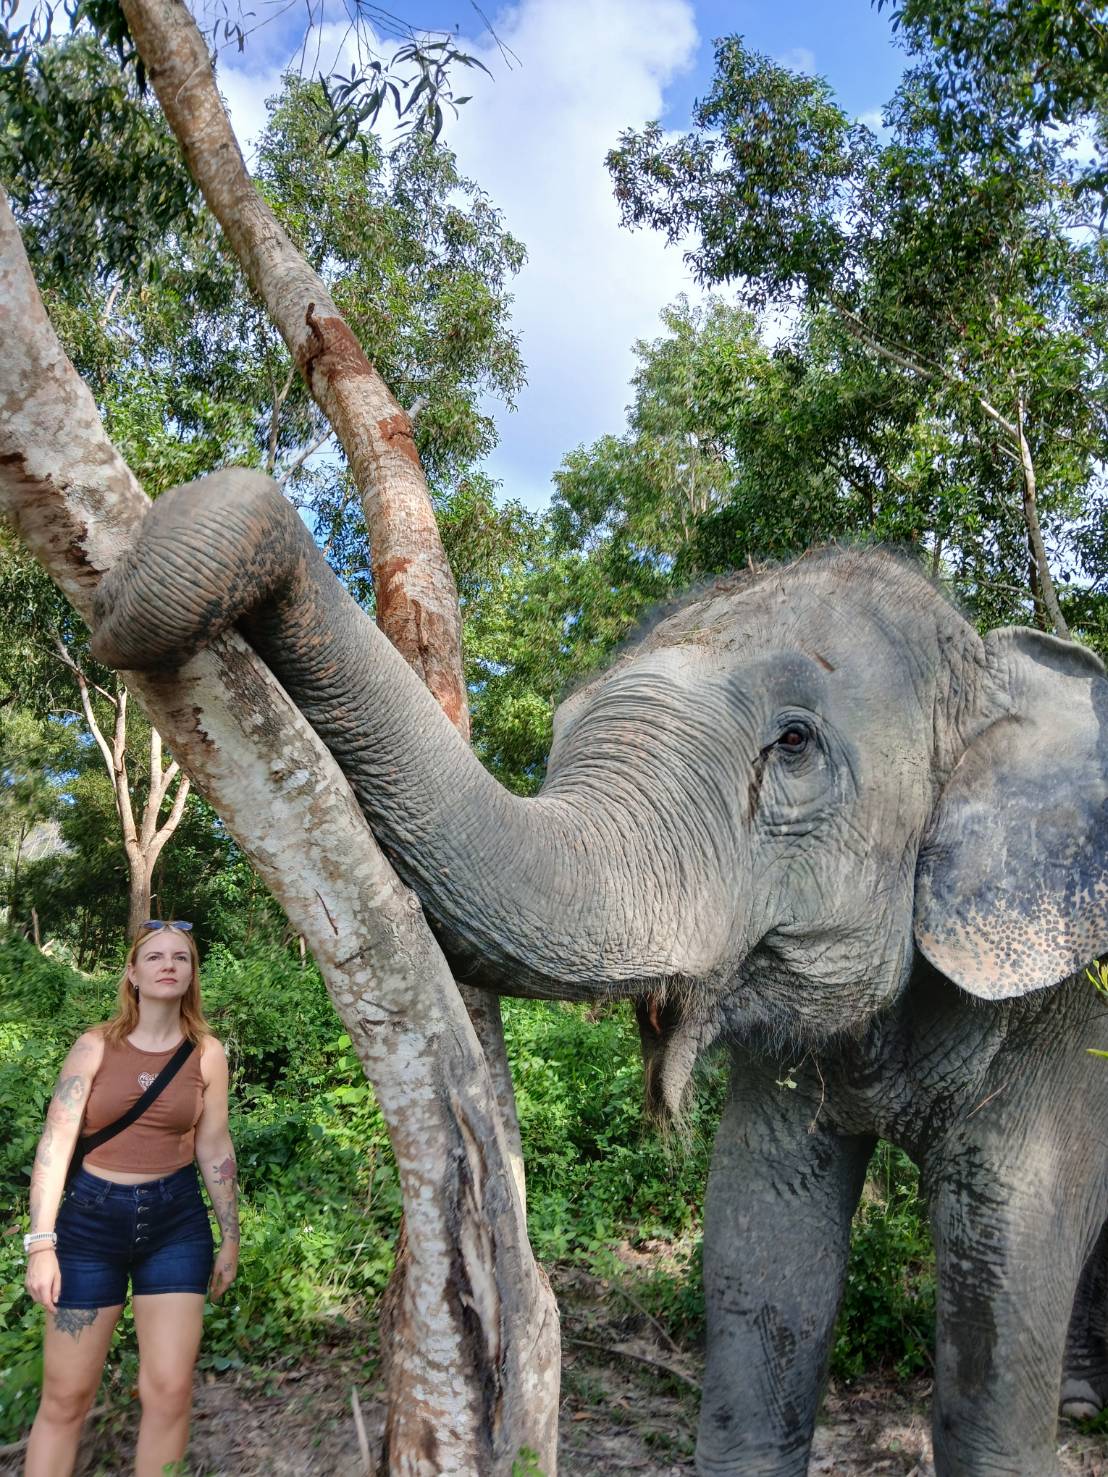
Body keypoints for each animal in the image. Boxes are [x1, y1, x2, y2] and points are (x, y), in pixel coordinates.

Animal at [91, 469, 1108, 1476]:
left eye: (794, 743)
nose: (226, 496)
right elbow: (762, 1258)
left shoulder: (1057, 1008)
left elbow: (999, 1281)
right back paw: (1083, 1400)